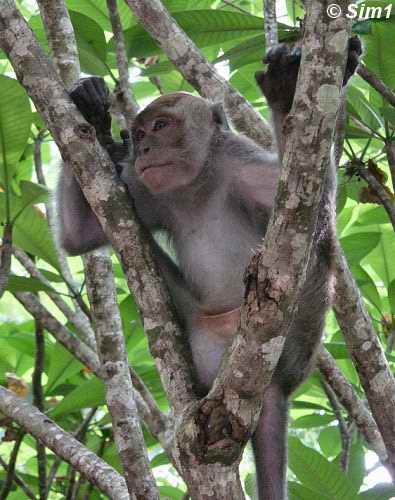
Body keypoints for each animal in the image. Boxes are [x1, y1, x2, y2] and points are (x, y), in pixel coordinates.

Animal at [55, 38, 362, 500]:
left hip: (283, 346)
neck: (198, 181)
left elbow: (312, 213)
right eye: (142, 133)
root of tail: (277, 387)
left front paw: (285, 94)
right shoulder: (144, 189)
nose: (143, 148)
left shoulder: (244, 166)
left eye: (161, 126)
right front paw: (93, 112)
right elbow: (80, 235)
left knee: (311, 261)